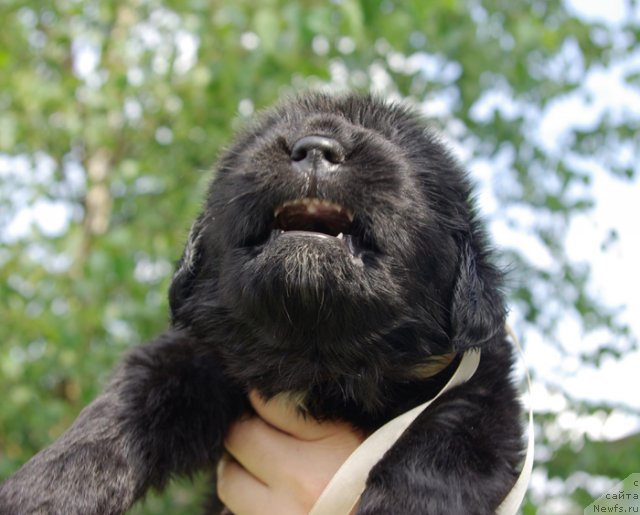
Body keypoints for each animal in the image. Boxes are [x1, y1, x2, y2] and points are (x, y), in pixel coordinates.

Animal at [0, 93, 524, 515]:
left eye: (395, 139)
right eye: (271, 132)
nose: (315, 148)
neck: (316, 363)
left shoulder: (481, 392)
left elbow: (440, 448)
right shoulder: (202, 354)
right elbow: (122, 409)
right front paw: (47, 493)